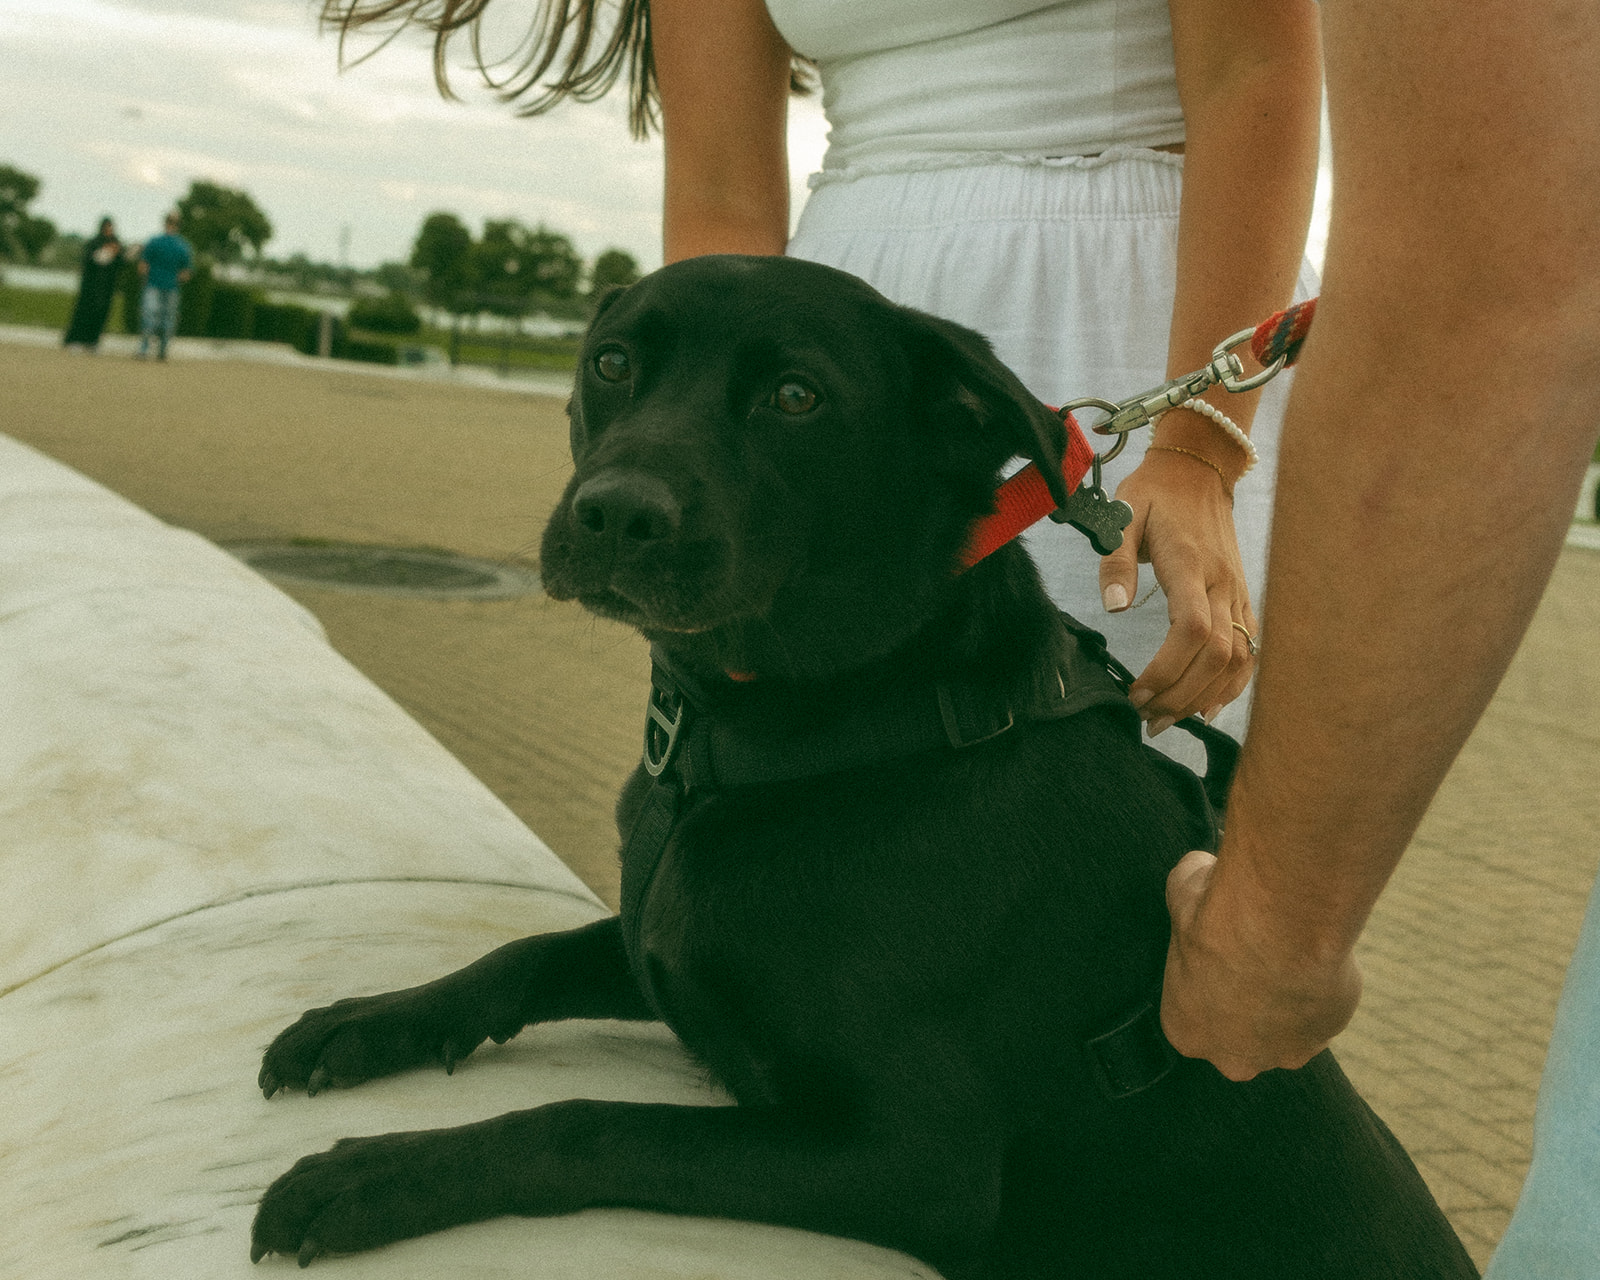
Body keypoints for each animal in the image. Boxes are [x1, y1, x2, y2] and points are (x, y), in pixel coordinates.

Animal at [252, 254, 1472, 1273]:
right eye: (610, 362)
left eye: (796, 398)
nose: (613, 516)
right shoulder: (667, 951)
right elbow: (524, 956)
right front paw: (365, 1022)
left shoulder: (909, 1160)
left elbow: (586, 1125)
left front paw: (373, 1177)